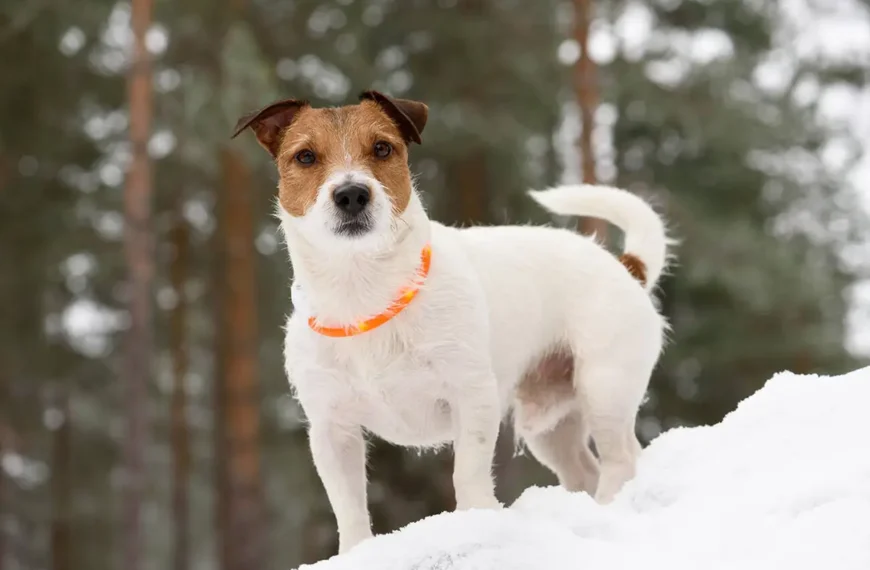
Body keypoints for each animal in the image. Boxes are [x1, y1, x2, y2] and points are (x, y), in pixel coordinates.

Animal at [233, 91, 676, 552]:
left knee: (620, 459)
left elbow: (468, 473)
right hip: (551, 423)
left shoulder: (472, 396)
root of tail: (626, 266)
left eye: (382, 148)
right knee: (585, 469)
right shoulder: (331, 428)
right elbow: (349, 507)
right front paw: (357, 552)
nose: (352, 194)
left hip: (604, 387)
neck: (365, 293)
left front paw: (476, 522)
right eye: (305, 156)